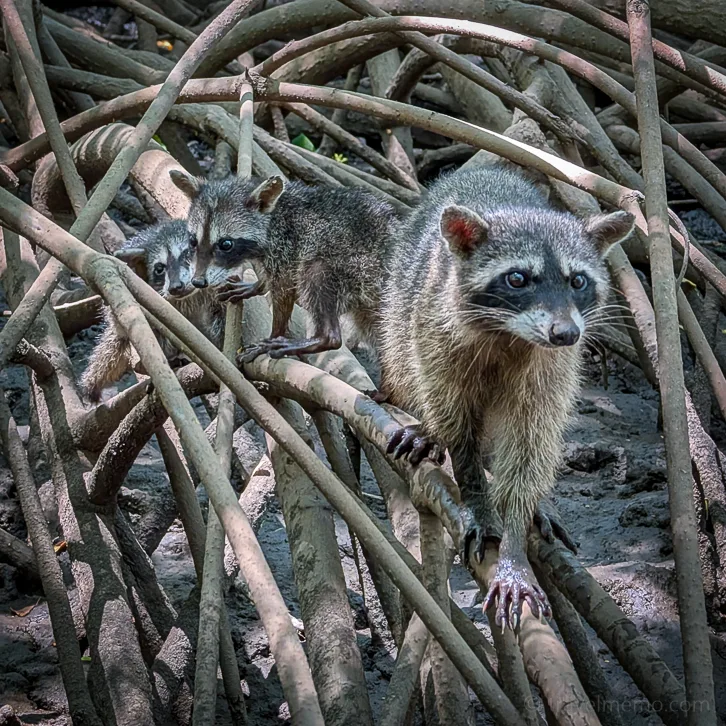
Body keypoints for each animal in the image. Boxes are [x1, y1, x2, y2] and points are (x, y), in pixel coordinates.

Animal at [168, 171, 401, 360]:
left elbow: (284, 292)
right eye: (193, 241)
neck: (272, 218)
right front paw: (258, 285)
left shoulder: (286, 249)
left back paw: (323, 338)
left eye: (226, 244)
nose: (198, 282)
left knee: (315, 274)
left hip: (355, 263)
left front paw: (275, 333)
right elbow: (268, 278)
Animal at [379, 164, 634, 628]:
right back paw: (429, 429)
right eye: (517, 278)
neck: (510, 334)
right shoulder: (439, 332)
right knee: (408, 365)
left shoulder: (551, 368)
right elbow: (457, 426)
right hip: (403, 297)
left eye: (578, 280)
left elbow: (530, 444)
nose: (566, 333)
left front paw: (516, 540)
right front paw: (478, 499)